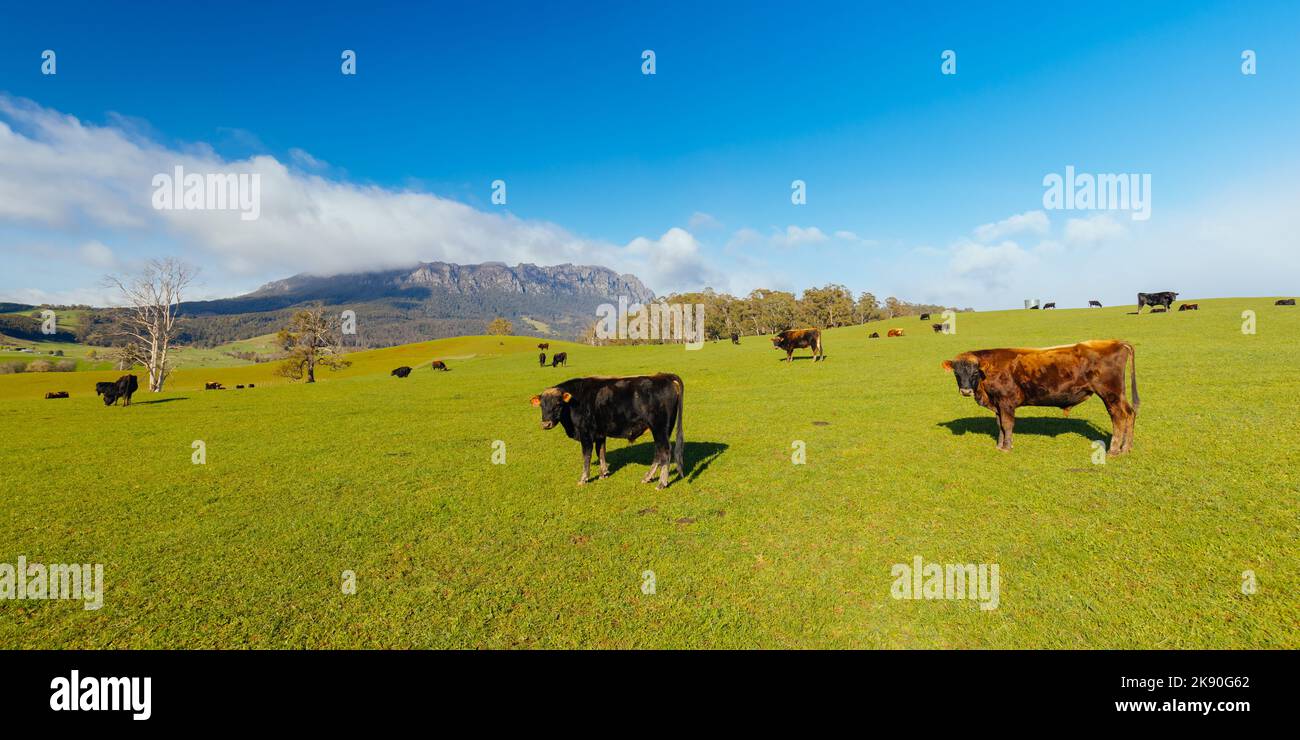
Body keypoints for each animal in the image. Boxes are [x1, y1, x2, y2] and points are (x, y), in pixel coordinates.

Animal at [530, 371, 686, 486]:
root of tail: (662, 376)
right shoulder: (600, 434)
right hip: (662, 430)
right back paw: (647, 477)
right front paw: (603, 473)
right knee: (658, 452)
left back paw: (661, 483)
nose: (546, 424)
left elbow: (587, 456)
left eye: (558, 404)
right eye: (542, 405)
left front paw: (583, 479)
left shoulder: (586, 434)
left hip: (659, 429)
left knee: (665, 451)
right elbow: (601, 452)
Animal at [946, 340, 1138, 455]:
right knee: (1130, 413)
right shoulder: (998, 404)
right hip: (1119, 394)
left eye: (974, 372)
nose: (965, 391)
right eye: (956, 373)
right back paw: (1126, 448)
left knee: (1118, 417)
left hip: (1110, 394)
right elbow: (1000, 425)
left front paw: (1007, 447)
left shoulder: (1006, 402)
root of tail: (1116, 342)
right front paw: (1000, 445)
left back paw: (1114, 450)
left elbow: (1007, 424)